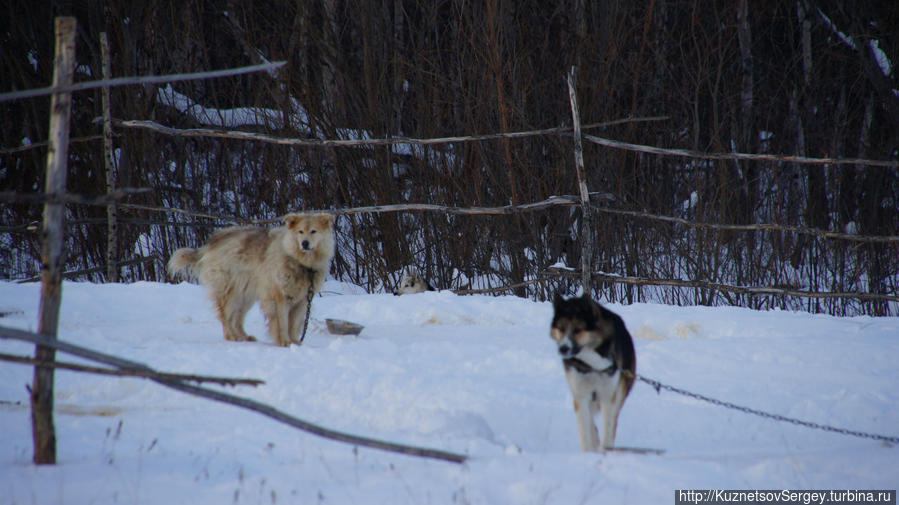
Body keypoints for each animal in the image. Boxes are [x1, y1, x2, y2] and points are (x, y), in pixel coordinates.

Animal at [548, 294, 640, 450]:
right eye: (561, 329)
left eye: (577, 330)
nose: (563, 349)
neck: (592, 364)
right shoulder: (581, 395)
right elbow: (586, 430)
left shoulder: (608, 396)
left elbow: (607, 430)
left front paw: (605, 450)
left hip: (618, 394)